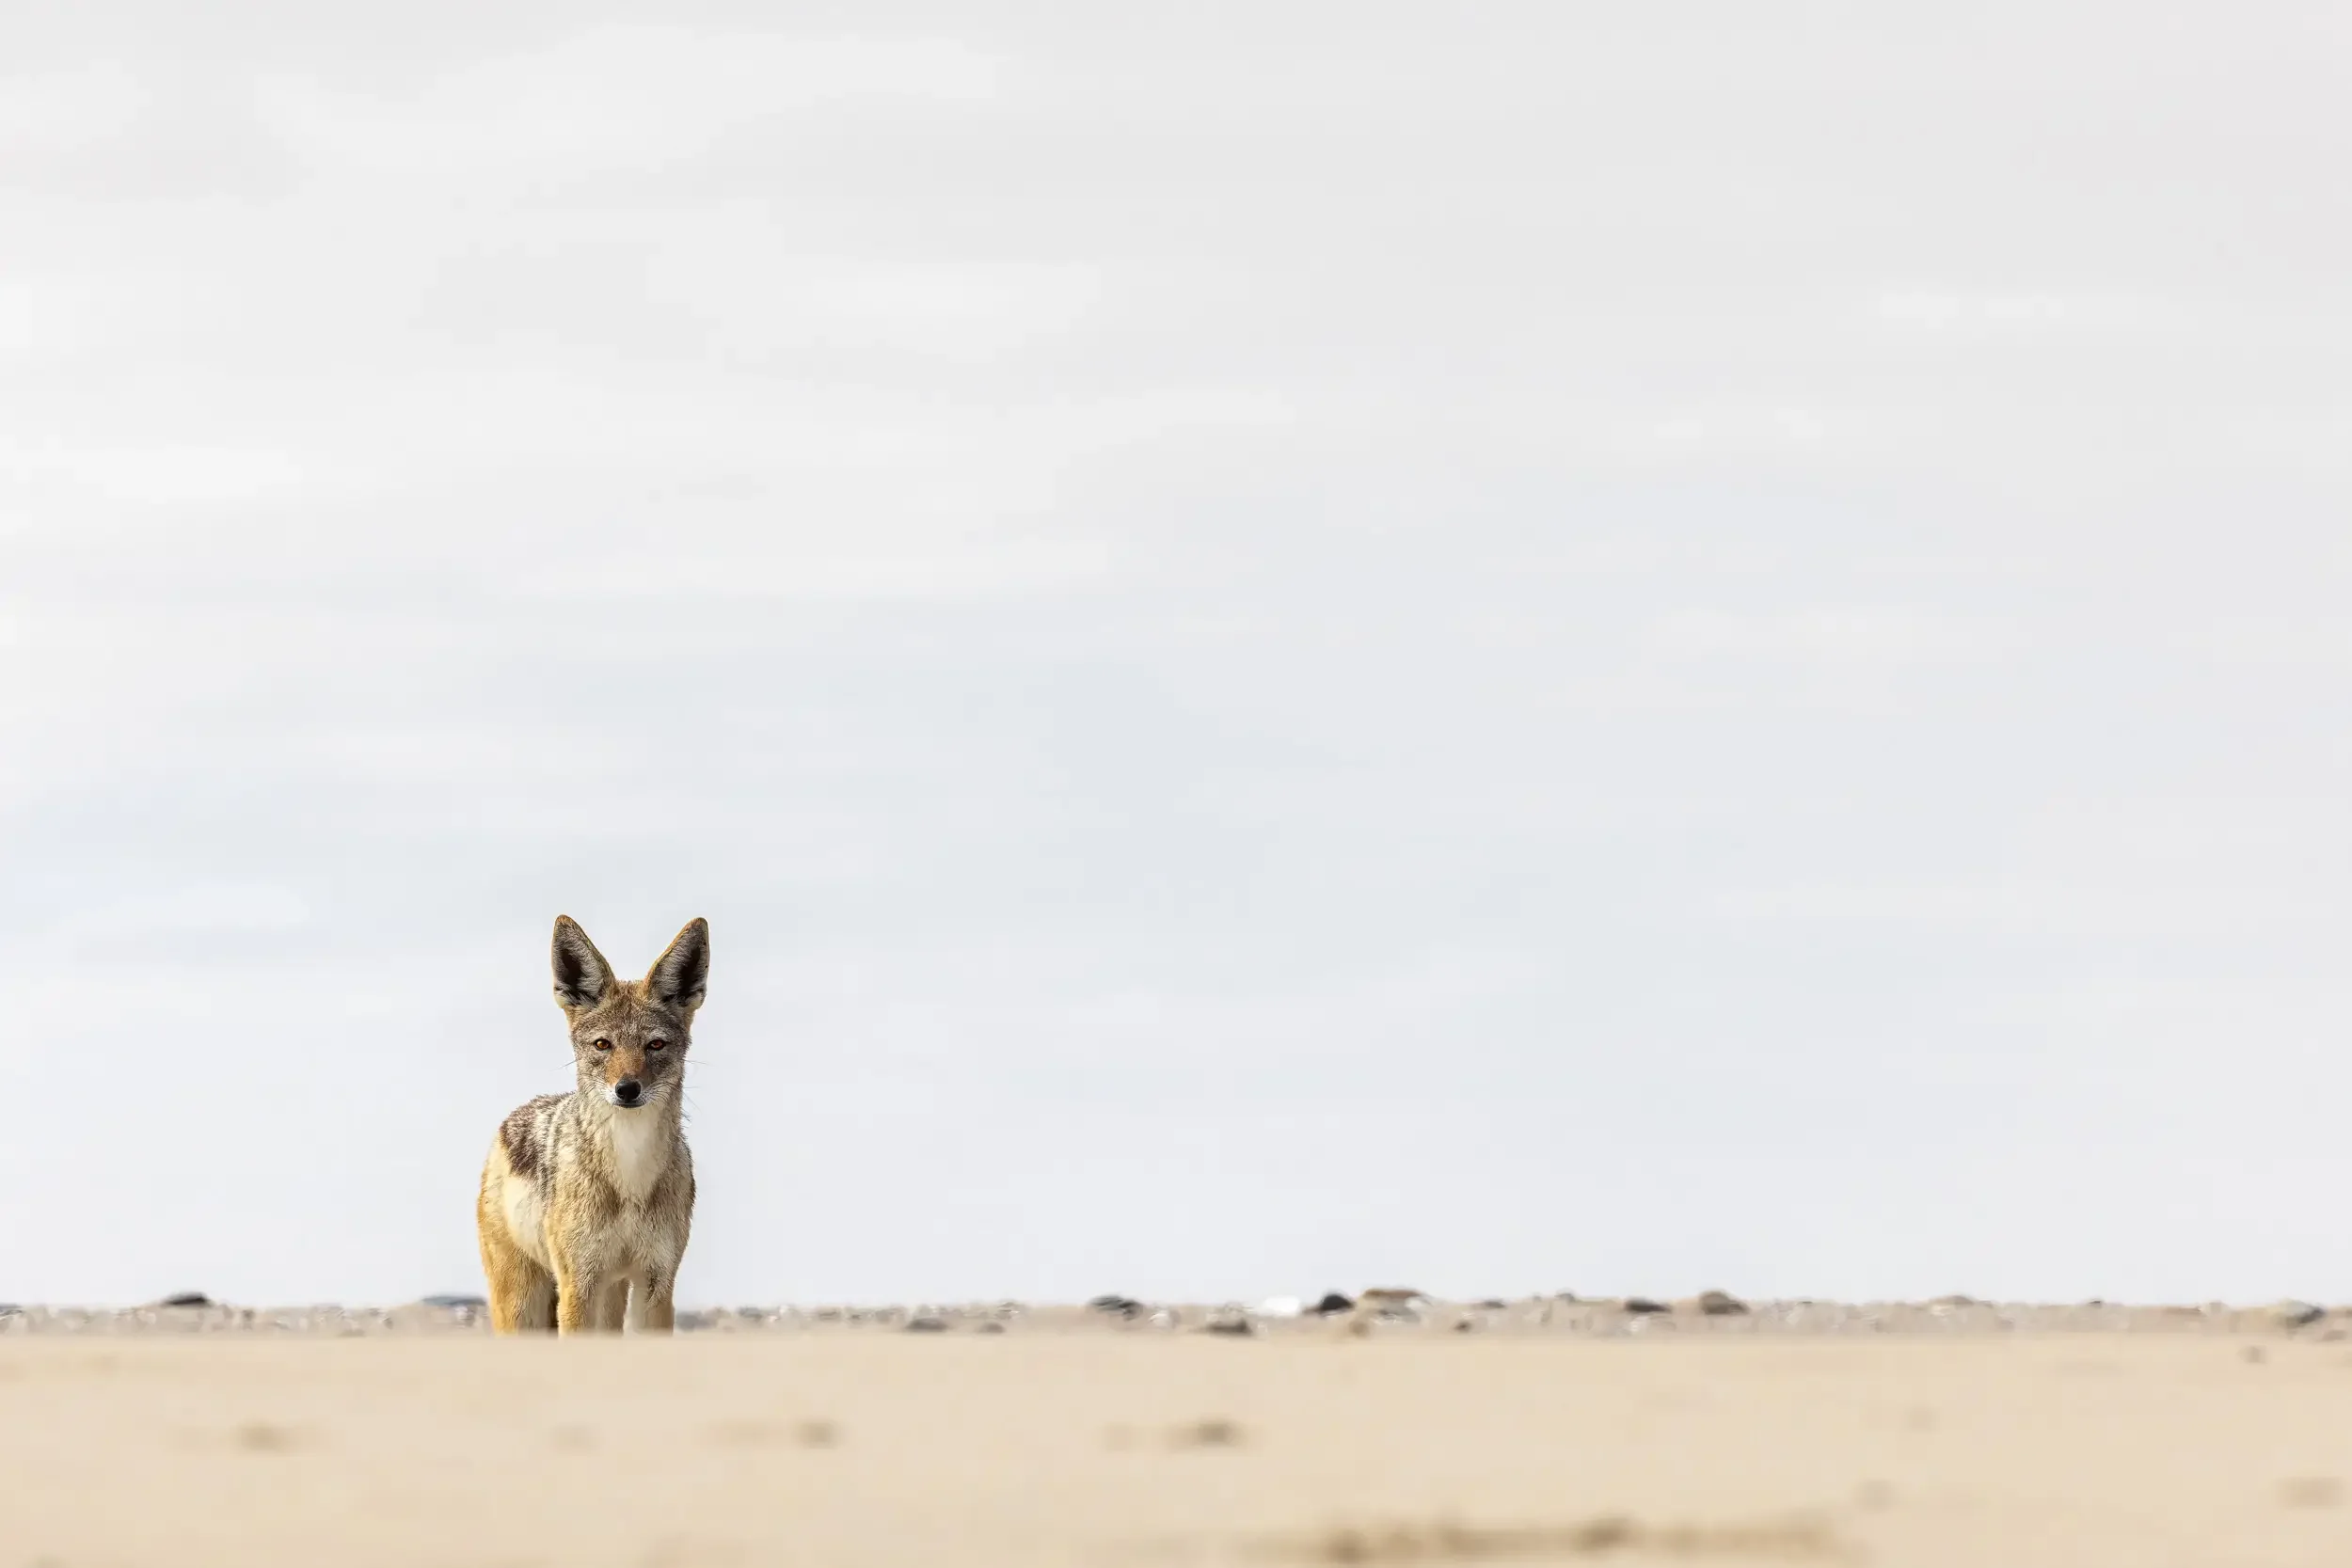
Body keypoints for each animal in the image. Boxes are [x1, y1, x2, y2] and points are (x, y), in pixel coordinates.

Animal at [476, 915, 709, 1335]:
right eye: (603, 1045)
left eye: (655, 1045)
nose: (627, 1089)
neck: (630, 1177)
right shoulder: (579, 1285)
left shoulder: (657, 1284)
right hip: (524, 1305)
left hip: (611, 1294)